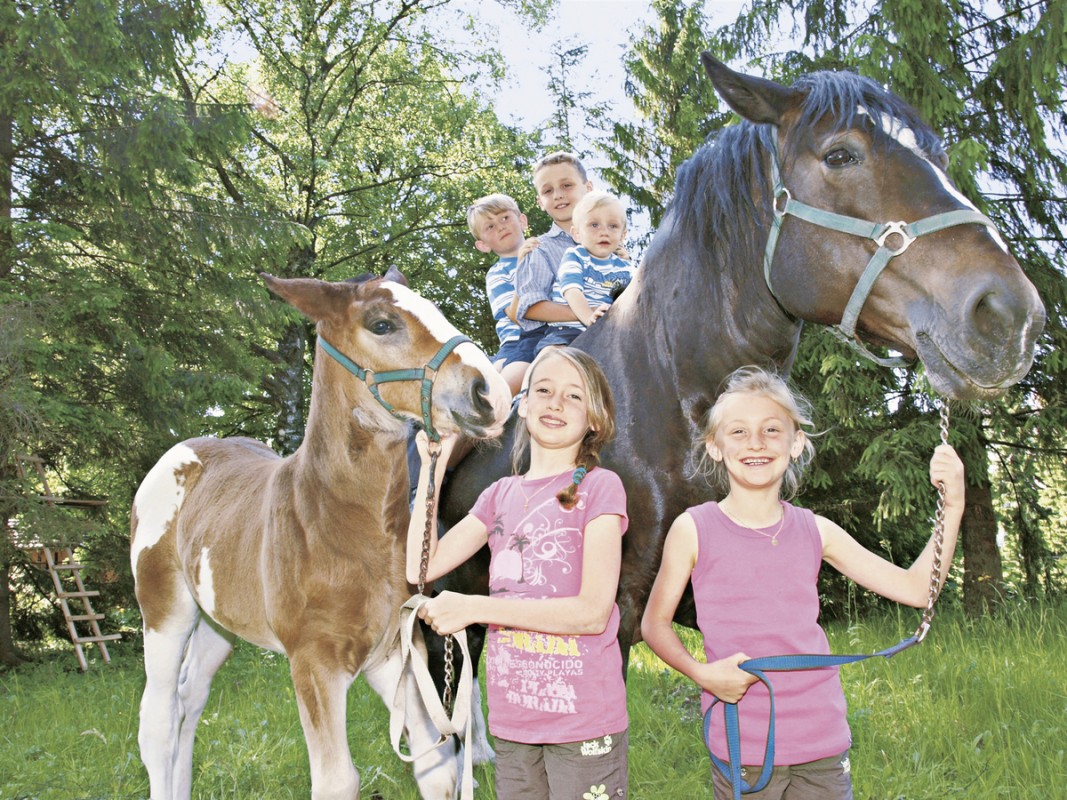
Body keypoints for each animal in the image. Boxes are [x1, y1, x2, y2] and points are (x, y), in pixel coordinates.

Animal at [131, 270, 514, 800]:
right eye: (381, 323)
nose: (491, 392)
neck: (337, 526)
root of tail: (183, 452)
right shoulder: (313, 663)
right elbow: (337, 779)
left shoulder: (395, 653)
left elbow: (436, 767)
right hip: (164, 610)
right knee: (159, 720)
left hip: (219, 624)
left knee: (191, 700)